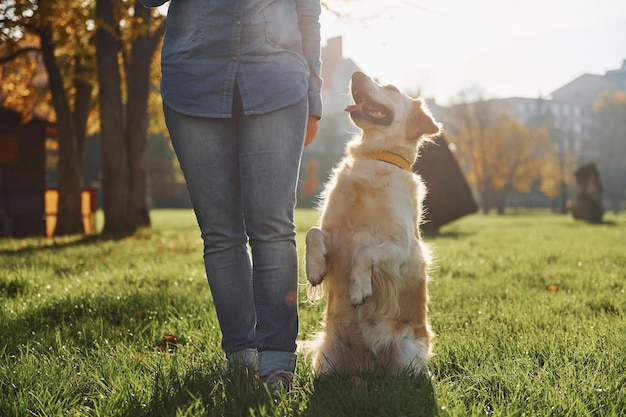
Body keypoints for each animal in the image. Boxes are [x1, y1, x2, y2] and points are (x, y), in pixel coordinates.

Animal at [302, 70, 438, 376]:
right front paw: (315, 269)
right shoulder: (334, 235)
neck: (374, 157)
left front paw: (359, 290)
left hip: (406, 357)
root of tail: (365, 366)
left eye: (391, 88)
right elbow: (313, 233)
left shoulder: (403, 249)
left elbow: (365, 252)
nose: (356, 74)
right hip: (326, 361)